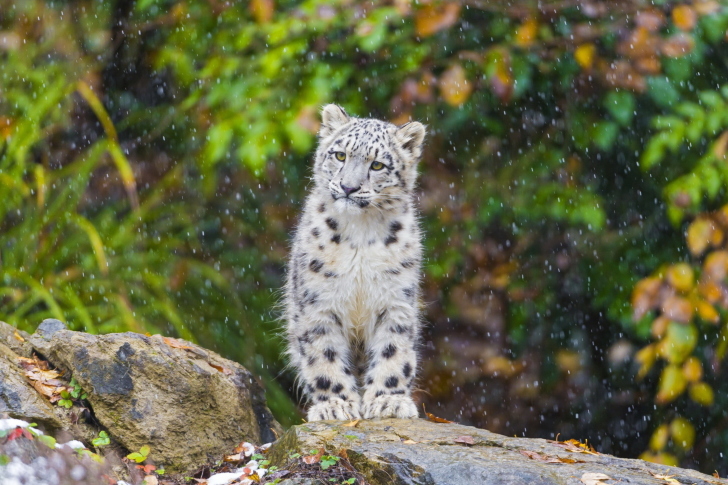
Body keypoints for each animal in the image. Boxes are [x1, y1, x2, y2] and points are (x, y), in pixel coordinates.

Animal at [284, 103, 426, 420]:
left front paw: (388, 400)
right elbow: (323, 354)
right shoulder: (318, 303)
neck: (360, 232)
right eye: (340, 155)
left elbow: (393, 350)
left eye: (378, 165)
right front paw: (335, 405)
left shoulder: (396, 301)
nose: (348, 187)